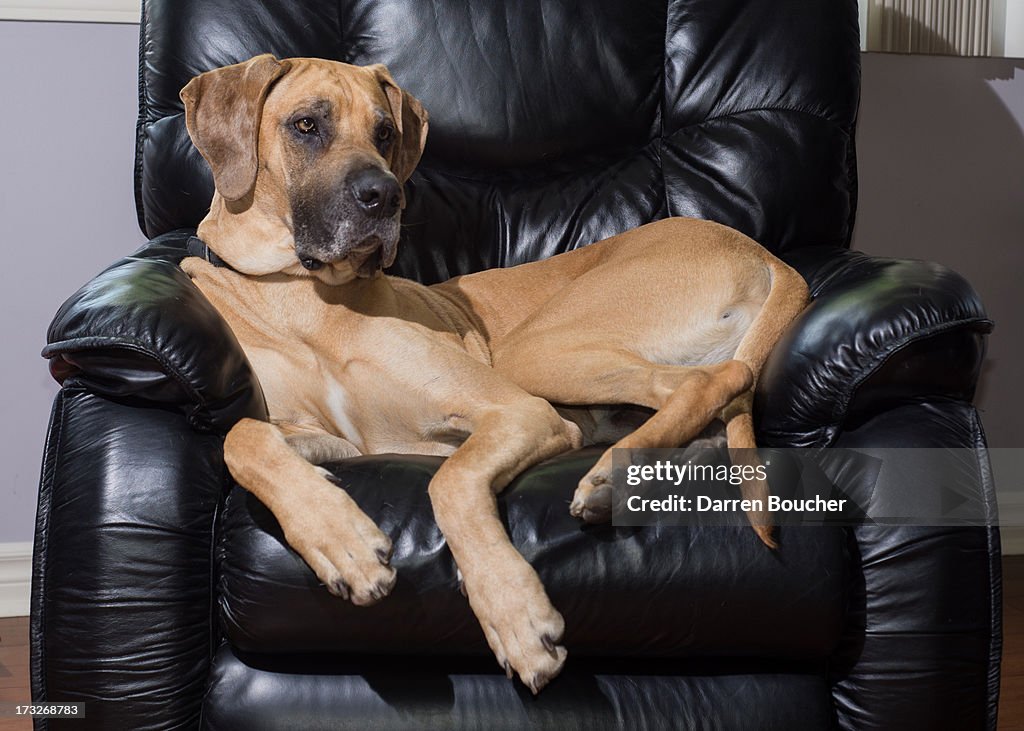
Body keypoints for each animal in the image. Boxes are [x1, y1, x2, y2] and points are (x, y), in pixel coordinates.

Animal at [180, 54, 811, 692]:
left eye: (385, 133)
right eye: (306, 125)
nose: (385, 197)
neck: (304, 296)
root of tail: (763, 252)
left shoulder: (518, 412)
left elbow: (450, 480)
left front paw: (515, 613)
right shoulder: (339, 441)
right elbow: (243, 438)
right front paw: (341, 541)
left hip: (533, 352)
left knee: (713, 380)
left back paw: (611, 478)